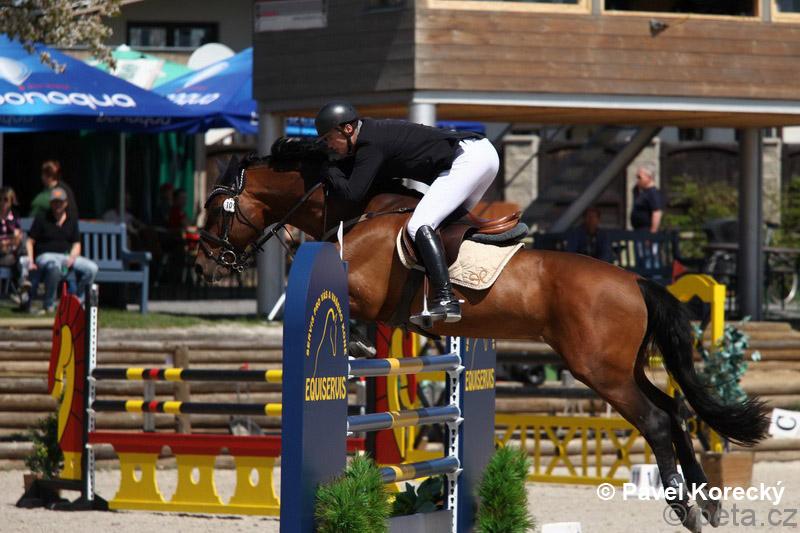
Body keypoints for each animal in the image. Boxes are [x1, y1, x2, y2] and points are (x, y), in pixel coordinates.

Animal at [194, 142, 769, 532]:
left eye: (215, 209)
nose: (205, 266)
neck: (358, 210)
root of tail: (634, 281)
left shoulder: (367, 292)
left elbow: (349, 306)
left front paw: (355, 342)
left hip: (599, 370)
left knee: (654, 419)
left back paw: (685, 507)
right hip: (619, 367)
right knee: (674, 409)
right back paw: (708, 502)